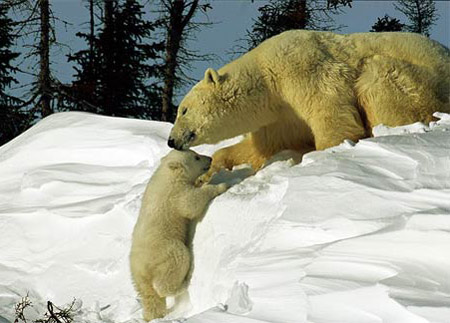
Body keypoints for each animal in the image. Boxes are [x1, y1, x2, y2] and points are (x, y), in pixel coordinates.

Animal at [167, 30, 448, 177]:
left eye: (184, 110)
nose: (171, 140)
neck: (266, 78)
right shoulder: (280, 117)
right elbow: (265, 146)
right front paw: (212, 169)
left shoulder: (301, 69)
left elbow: (331, 111)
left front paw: (322, 154)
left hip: (419, 84)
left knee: (377, 75)